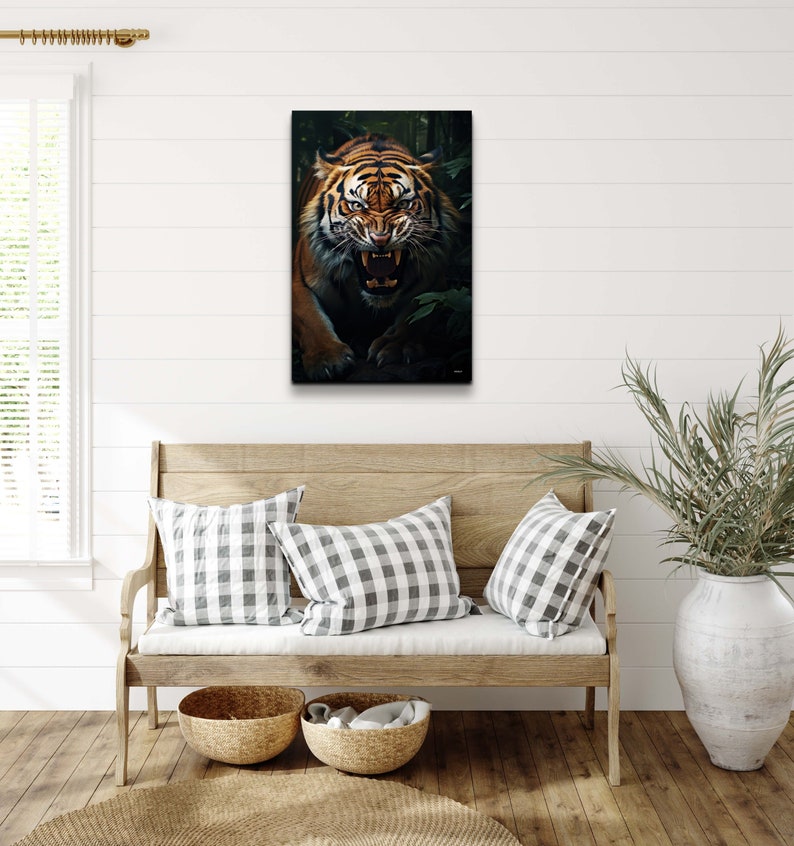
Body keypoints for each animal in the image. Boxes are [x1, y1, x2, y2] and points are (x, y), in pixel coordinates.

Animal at [292, 134, 460, 381]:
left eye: (403, 203)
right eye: (356, 205)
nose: (380, 238)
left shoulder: (435, 285)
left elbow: (415, 317)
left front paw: (396, 347)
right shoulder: (299, 282)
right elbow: (312, 320)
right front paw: (327, 358)